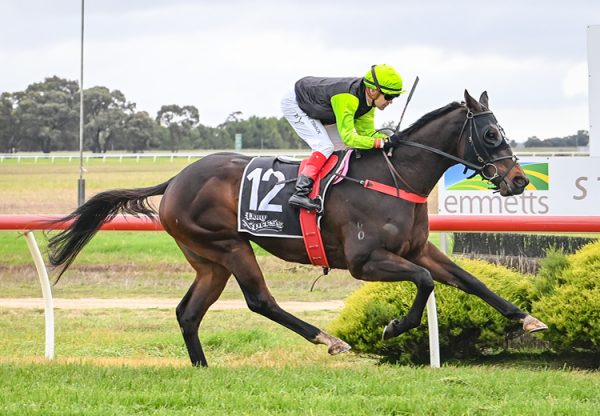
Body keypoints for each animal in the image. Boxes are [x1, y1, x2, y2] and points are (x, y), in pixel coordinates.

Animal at [49, 92, 548, 368]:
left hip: (208, 261)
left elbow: (469, 279)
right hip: (230, 246)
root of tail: (174, 180)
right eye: (491, 134)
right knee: (260, 301)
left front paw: (528, 318)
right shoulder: (366, 262)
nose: (519, 180)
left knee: (188, 313)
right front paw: (392, 328)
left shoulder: (418, 249)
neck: (395, 176)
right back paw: (329, 339)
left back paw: (203, 366)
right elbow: (425, 283)